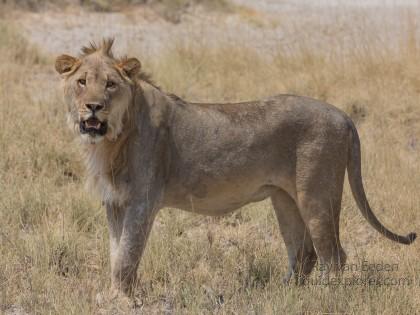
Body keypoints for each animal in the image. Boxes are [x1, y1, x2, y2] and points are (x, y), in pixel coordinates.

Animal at [55, 39, 416, 296]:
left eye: (110, 84)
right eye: (82, 82)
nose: (93, 107)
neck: (111, 141)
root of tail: (344, 115)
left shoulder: (142, 202)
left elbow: (127, 255)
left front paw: (122, 300)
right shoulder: (115, 202)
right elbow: (115, 253)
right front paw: (113, 295)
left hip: (316, 195)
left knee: (333, 255)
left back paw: (323, 299)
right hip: (285, 199)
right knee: (304, 253)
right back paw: (283, 294)